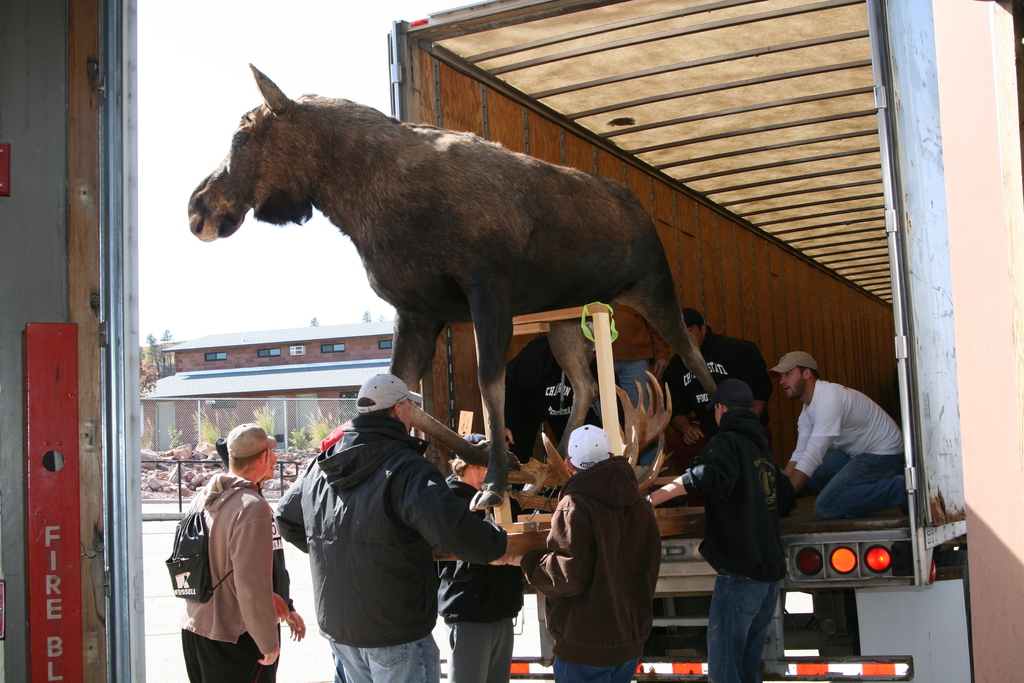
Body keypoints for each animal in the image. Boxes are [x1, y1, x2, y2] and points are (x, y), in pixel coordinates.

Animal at [188, 66, 716, 509]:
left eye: (243, 133)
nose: (197, 207)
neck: (362, 204)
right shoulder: (418, 310)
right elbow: (394, 393)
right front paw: (486, 458)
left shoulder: (488, 290)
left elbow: (488, 384)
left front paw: (496, 483)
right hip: (566, 317)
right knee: (585, 381)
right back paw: (562, 458)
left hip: (655, 288)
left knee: (693, 360)